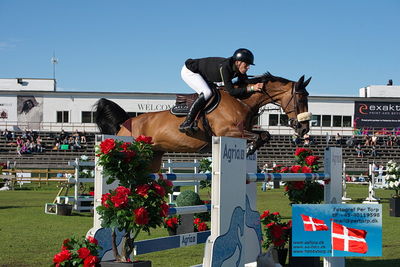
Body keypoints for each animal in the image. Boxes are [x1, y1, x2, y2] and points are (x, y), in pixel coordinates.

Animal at [94, 72, 312, 172]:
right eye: (301, 98)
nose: (304, 129)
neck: (241, 100)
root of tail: (126, 122)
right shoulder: (227, 132)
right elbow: (264, 135)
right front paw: (250, 149)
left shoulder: (242, 130)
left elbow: (264, 134)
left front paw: (251, 149)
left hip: (154, 156)